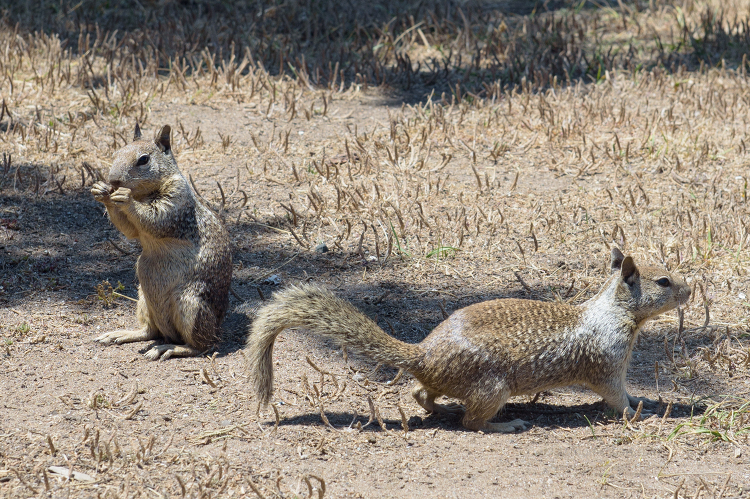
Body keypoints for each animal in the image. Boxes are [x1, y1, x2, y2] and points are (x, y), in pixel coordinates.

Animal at [91, 123, 232, 362]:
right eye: (116, 153)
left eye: (144, 159)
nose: (113, 181)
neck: (144, 194)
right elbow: (129, 230)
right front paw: (102, 192)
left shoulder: (176, 200)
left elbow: (156, 218)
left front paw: (125, 199)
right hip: (143, 300)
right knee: (149, 332)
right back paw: (122, 334)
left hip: (190, 306)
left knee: (201, 346)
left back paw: (168, 349)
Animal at [247, 250, 692, 434]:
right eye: (664, 281)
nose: (690, 291)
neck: (612, 312)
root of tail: (423, 353)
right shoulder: (607, 364)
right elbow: (616, 397)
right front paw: (641, 414)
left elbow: (623, 393)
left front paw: (646, 402)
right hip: (492, 386)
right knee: (471, 422)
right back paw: (508, 424)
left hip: (448, 381)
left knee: (419, 394)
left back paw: (439, 407)